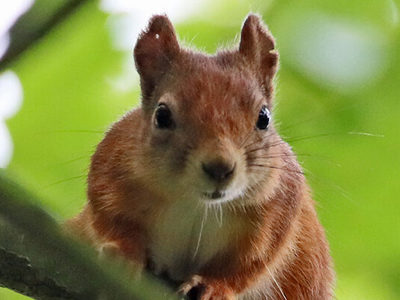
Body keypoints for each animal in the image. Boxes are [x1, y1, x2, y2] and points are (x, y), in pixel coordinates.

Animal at [67, 14, 336, 300]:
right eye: (162, 115)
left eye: (264, 117)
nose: (220, 168)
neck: (197, 204)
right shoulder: (112, 165)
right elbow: (110, 217)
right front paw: (124, 252)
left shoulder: (278, 205)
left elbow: (251, 263)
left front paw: (215, 286)